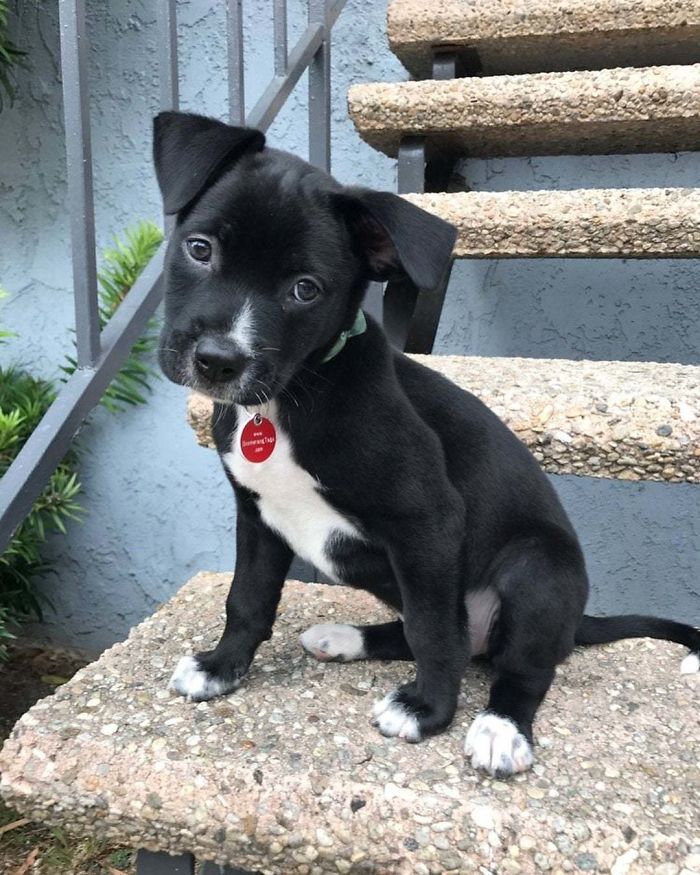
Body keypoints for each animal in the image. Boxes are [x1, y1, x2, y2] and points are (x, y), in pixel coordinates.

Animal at [154, 113, 700, 776]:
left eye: (305, 289)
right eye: (200, 249)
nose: (217, 362)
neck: (288, 399)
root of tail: (576, 622)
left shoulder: (428, 521)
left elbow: (436, 633)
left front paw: (429, 712)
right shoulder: (259, 515)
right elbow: (248, 599)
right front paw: (220, 668)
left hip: (536, 569)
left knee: (517, 664)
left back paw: (500, 727)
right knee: (439, 634)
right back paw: (345, 638)